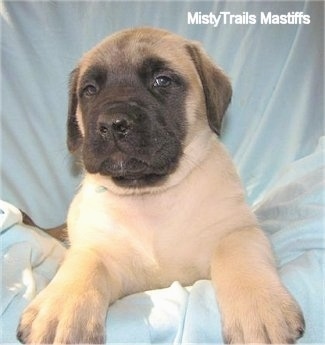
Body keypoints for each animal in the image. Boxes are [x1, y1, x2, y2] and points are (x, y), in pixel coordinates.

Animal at [17, 27, 302, 344]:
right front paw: (62, 310)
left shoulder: (237, 231)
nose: (113, 123)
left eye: (162, 80)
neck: (149, 196)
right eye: (89, 90)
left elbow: (239, 257)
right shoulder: (97, 249)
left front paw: (259, 307)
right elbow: (84, 266)